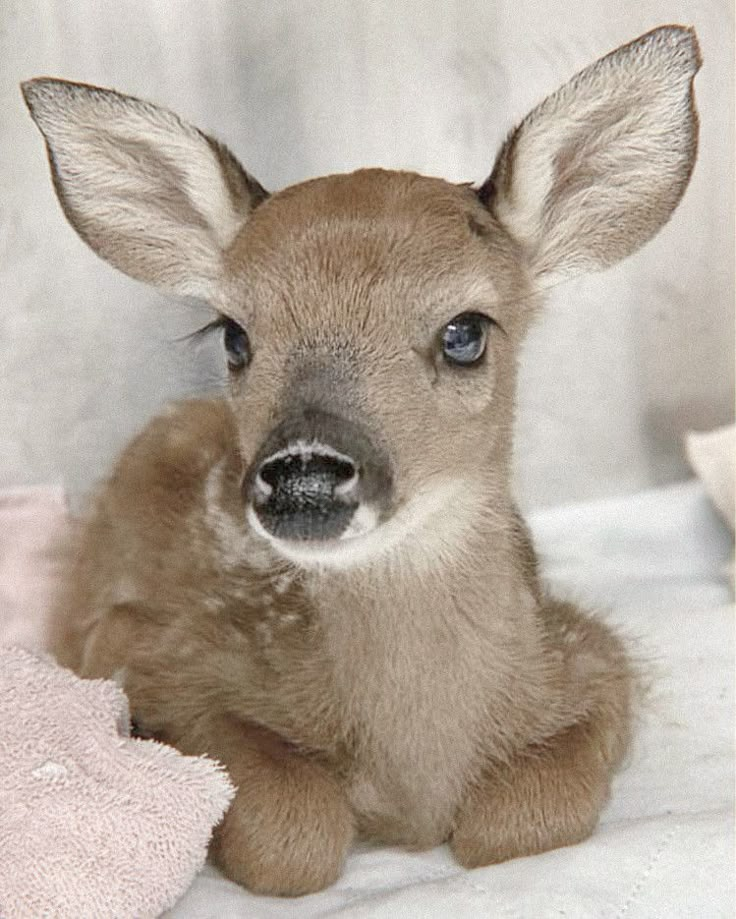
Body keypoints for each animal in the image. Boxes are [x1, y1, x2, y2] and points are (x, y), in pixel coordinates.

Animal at [24, 23, 700, 900]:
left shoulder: (592, 652)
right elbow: (295, 836)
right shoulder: (152, 648)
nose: (305, 473)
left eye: (465, 332)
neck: (414, 772)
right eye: (235, 336)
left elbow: (523, 822)